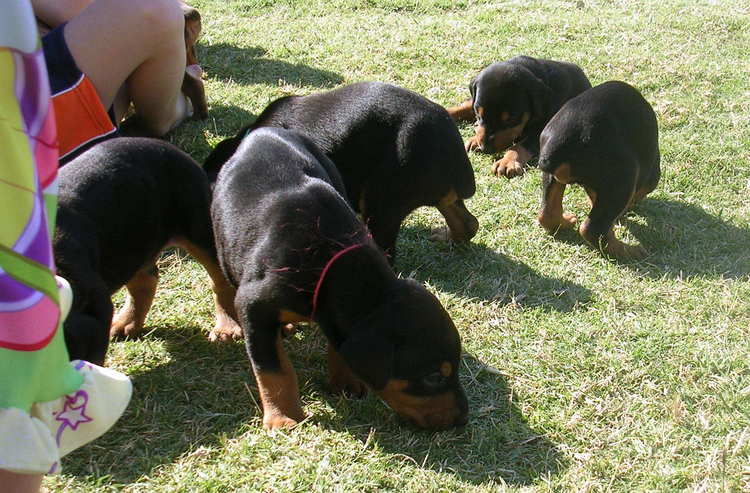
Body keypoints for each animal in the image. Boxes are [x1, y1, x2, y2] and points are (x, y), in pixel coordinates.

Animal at [55, 136, 238, 364]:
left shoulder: (92, 307)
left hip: (199, 228)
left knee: (220, 280)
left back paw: (227, 328)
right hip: (133, 243)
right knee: (145, 281)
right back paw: (126, 324)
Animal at [212, 128, 470, 430]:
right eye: (433, 377)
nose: (463, 417)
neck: (329, 260)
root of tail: (262, 131)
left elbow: (339, 346)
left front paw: (345, 382)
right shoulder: (253, 305)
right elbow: (273, 370)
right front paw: (283, 417)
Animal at [446, 55, 592, 179]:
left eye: (511, 119)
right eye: (478, 114)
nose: (486, 149)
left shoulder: (544, 130)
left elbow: (520, 145)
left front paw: (506, 162)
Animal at [536, 80, 660, 258]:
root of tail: (560, 144)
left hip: (550, 176)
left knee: (546, 214)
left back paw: (565, 223)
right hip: (624, 176)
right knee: (591, 230)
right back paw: (629, 251)